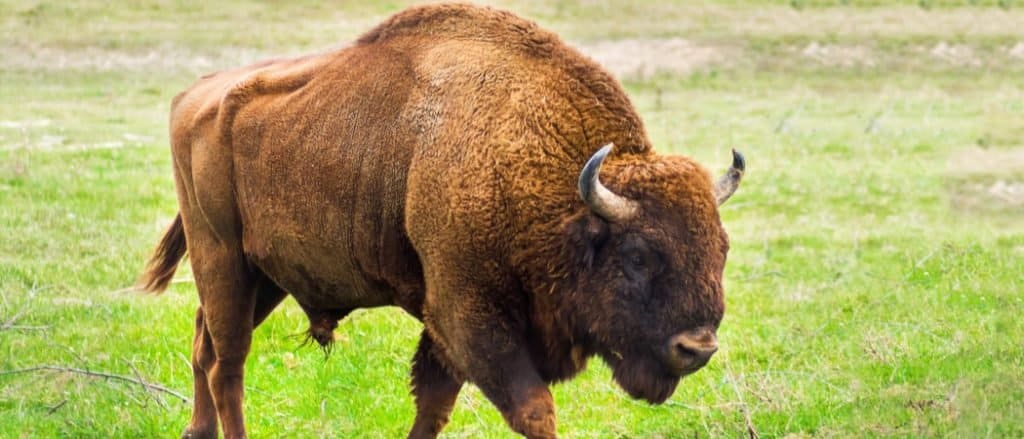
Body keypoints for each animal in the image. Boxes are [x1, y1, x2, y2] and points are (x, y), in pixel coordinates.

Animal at [138, 4, 745, 437]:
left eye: (723, 247)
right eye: (638, 255)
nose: (697, 348)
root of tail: (195, 94)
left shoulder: (445, 326)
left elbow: (433, 403)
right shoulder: (467, 313)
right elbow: (532, 409)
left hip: (264, 276)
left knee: (205, 343)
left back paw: (196, 432)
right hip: (221, 257)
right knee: (228, 362)